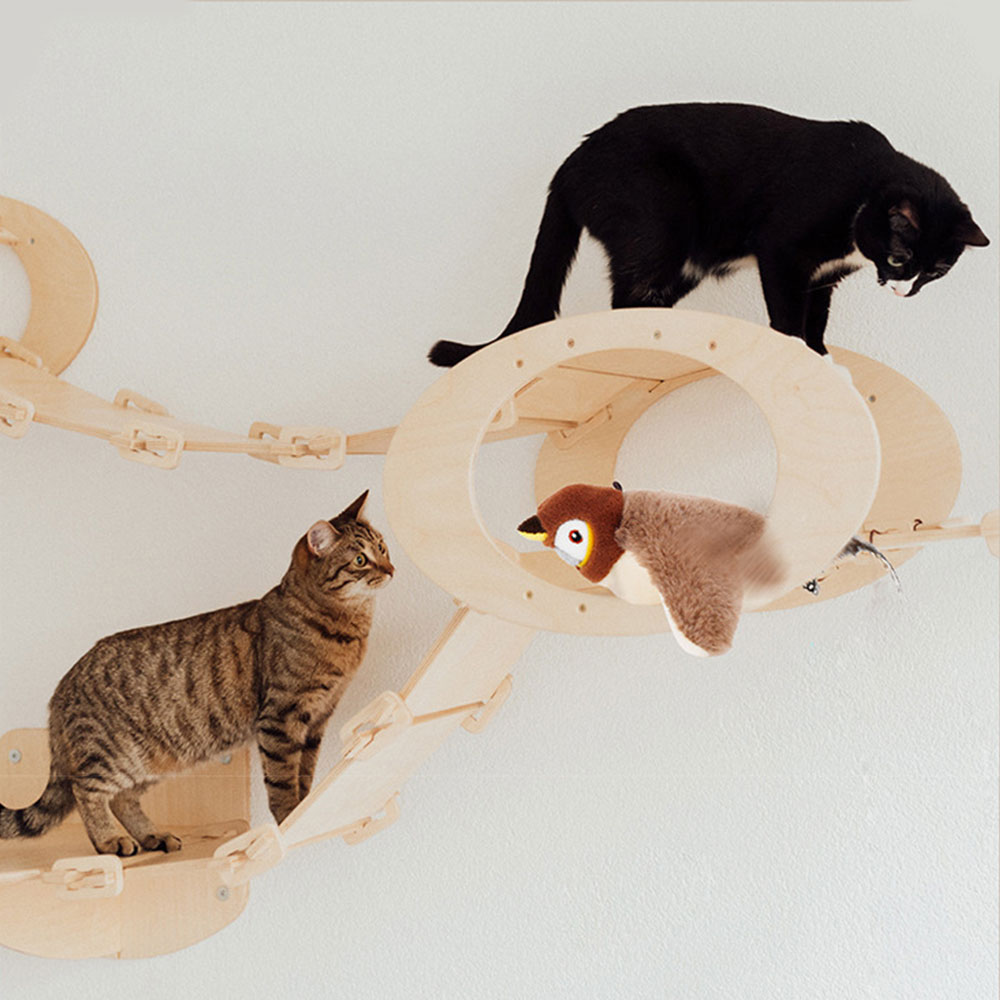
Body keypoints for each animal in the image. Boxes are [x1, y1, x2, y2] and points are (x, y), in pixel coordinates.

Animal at [0, 491, 393, 856]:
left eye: (383, 548)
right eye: (360, 560)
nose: (391, 569)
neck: (347, 629)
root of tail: (62, 685)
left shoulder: (317, 720)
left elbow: (305, 773)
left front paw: (307, 811)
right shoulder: (282, 717)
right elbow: (283, 780)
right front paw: (289, 819)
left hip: (152, 759)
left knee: (123, 799)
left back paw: (151, 835)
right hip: (112, 754)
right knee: (88, 790)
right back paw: (109, 840)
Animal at [429, 103, 989, 366]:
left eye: (937, 270)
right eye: (899, 257)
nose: (904, 288)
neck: (863, 188)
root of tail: (570, 165)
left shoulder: (824, 275)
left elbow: (817, 317)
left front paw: (822, 356)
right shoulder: (781, 248)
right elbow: (788, 312)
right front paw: (797, 351)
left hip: (684, 261)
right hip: (656, 222)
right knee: (626, 296)